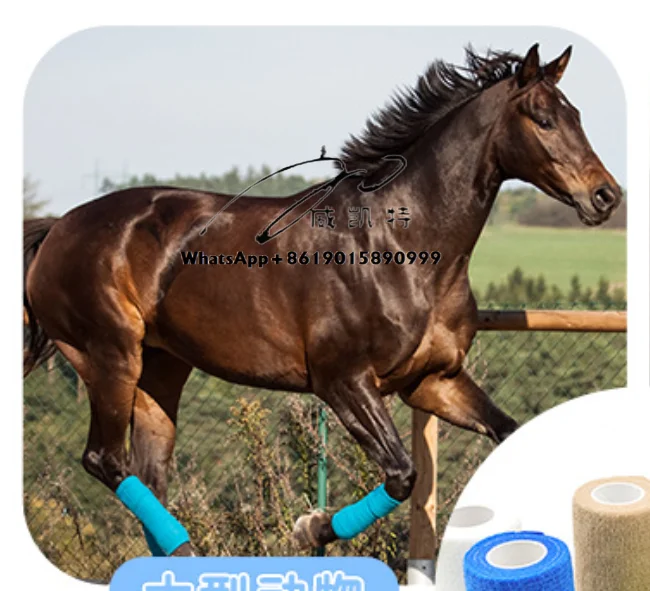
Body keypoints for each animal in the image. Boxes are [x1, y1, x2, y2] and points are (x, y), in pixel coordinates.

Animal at [23, 44, 621, 557]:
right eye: (543, 119)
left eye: (577, 115)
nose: (606, 196)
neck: (400, 245)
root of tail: (59, 228)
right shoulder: (343, 382)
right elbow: (402, 475)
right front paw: (309, 528)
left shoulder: (434, 381)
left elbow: (503, 433)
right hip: (110, 357)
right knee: (105, 460)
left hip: (161, 372)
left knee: (148, 478)